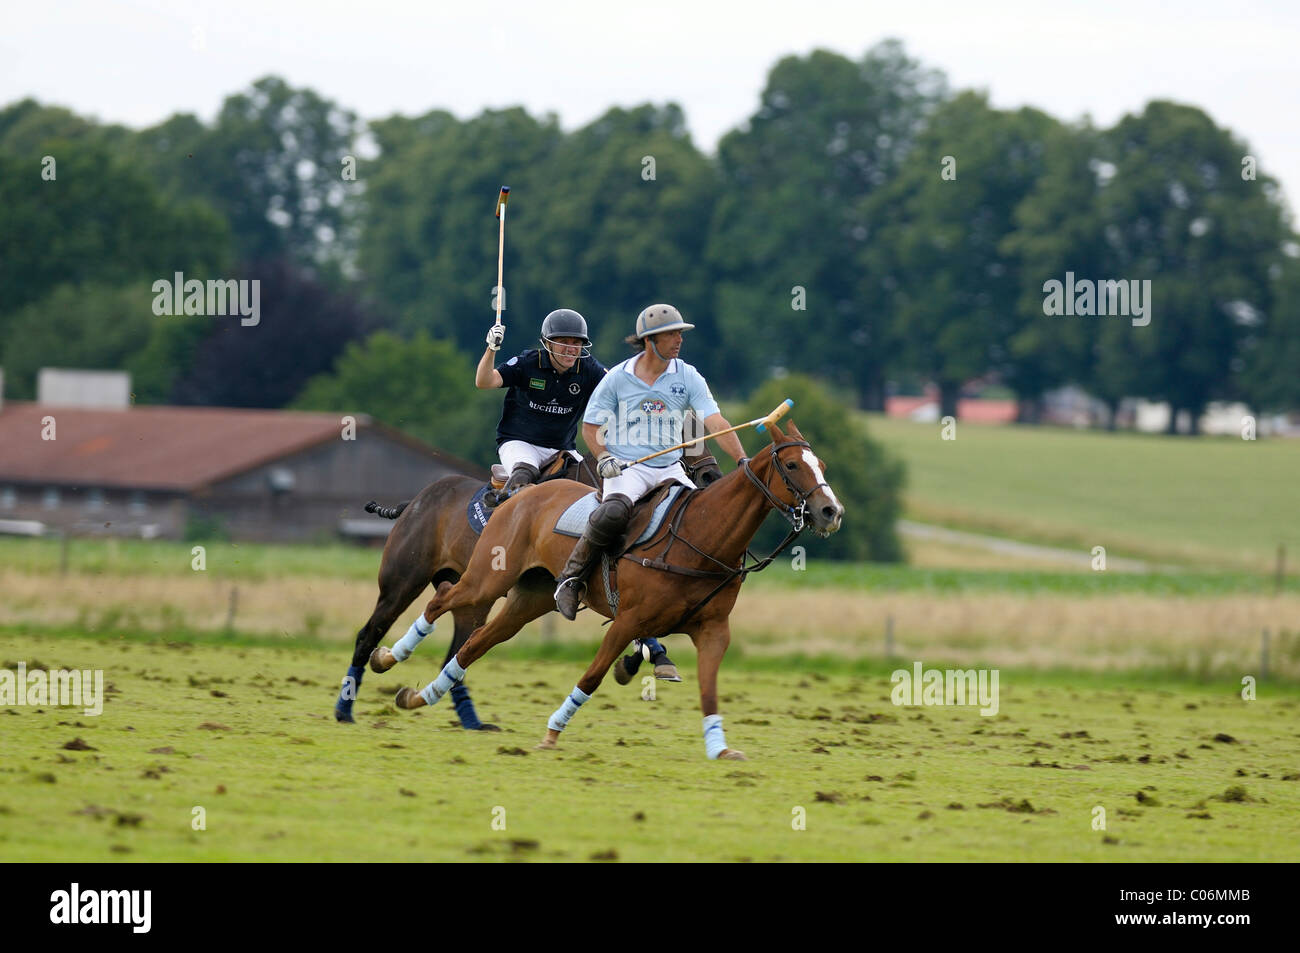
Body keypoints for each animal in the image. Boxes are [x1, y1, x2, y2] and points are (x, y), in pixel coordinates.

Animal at [390, 421, 847, 764]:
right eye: (793, 464)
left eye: (822, 463)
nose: (831, 511)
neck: (701, 535)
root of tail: (521, 493)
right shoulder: (627, 620)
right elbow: (592, 676)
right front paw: (552, 734)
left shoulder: (713, 630)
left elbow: (709, 688)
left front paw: (720, 748)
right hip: (487, 577)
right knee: (442, 598)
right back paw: (389, 657)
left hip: (529, 599)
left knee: (477, 643)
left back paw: (420, 696)